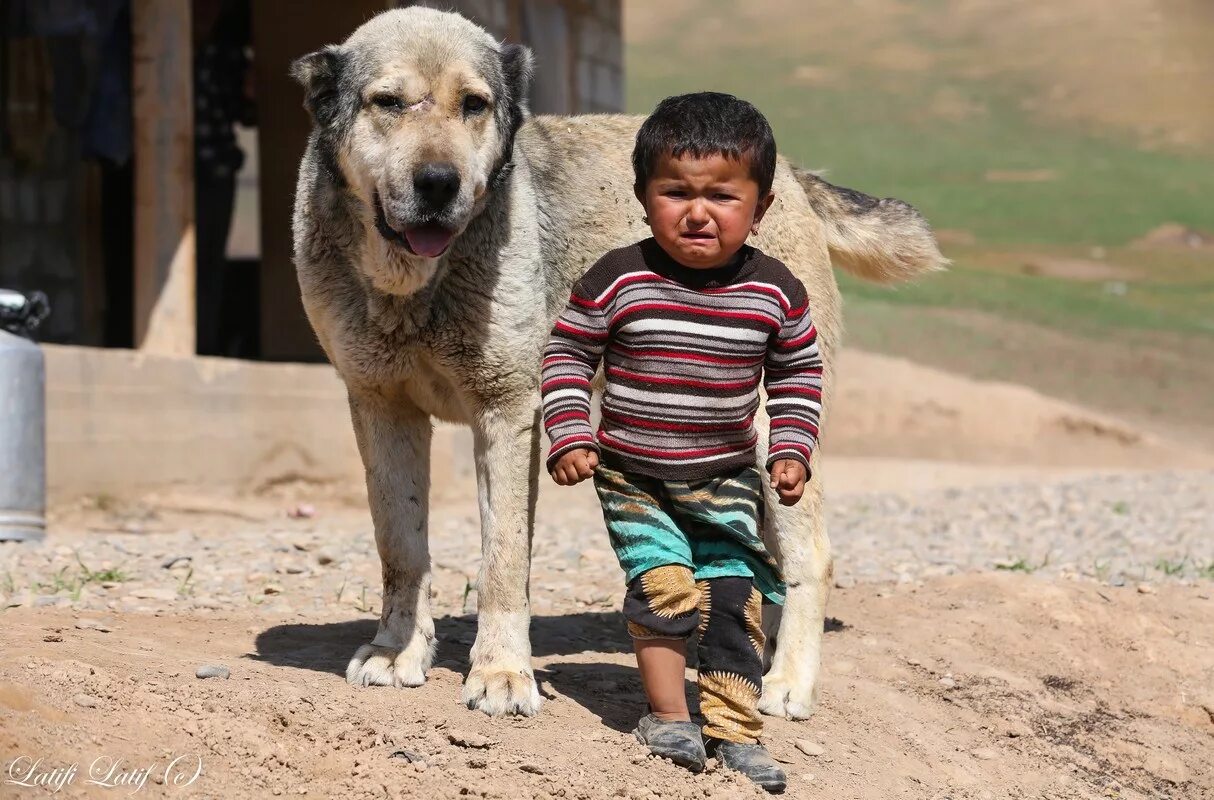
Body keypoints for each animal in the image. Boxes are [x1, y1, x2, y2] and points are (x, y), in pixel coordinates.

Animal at [288, 6, 942, 718]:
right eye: (386, 102)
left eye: (474, 105)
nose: (439, 183)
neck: (413, 287)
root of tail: (791, 176)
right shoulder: (381, 406)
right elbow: (400, 548)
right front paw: (398, 650)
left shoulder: (508, 412)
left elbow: (502, 561)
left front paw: (501, 672)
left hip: (775, 437)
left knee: (813, 557)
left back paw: (788, 681)